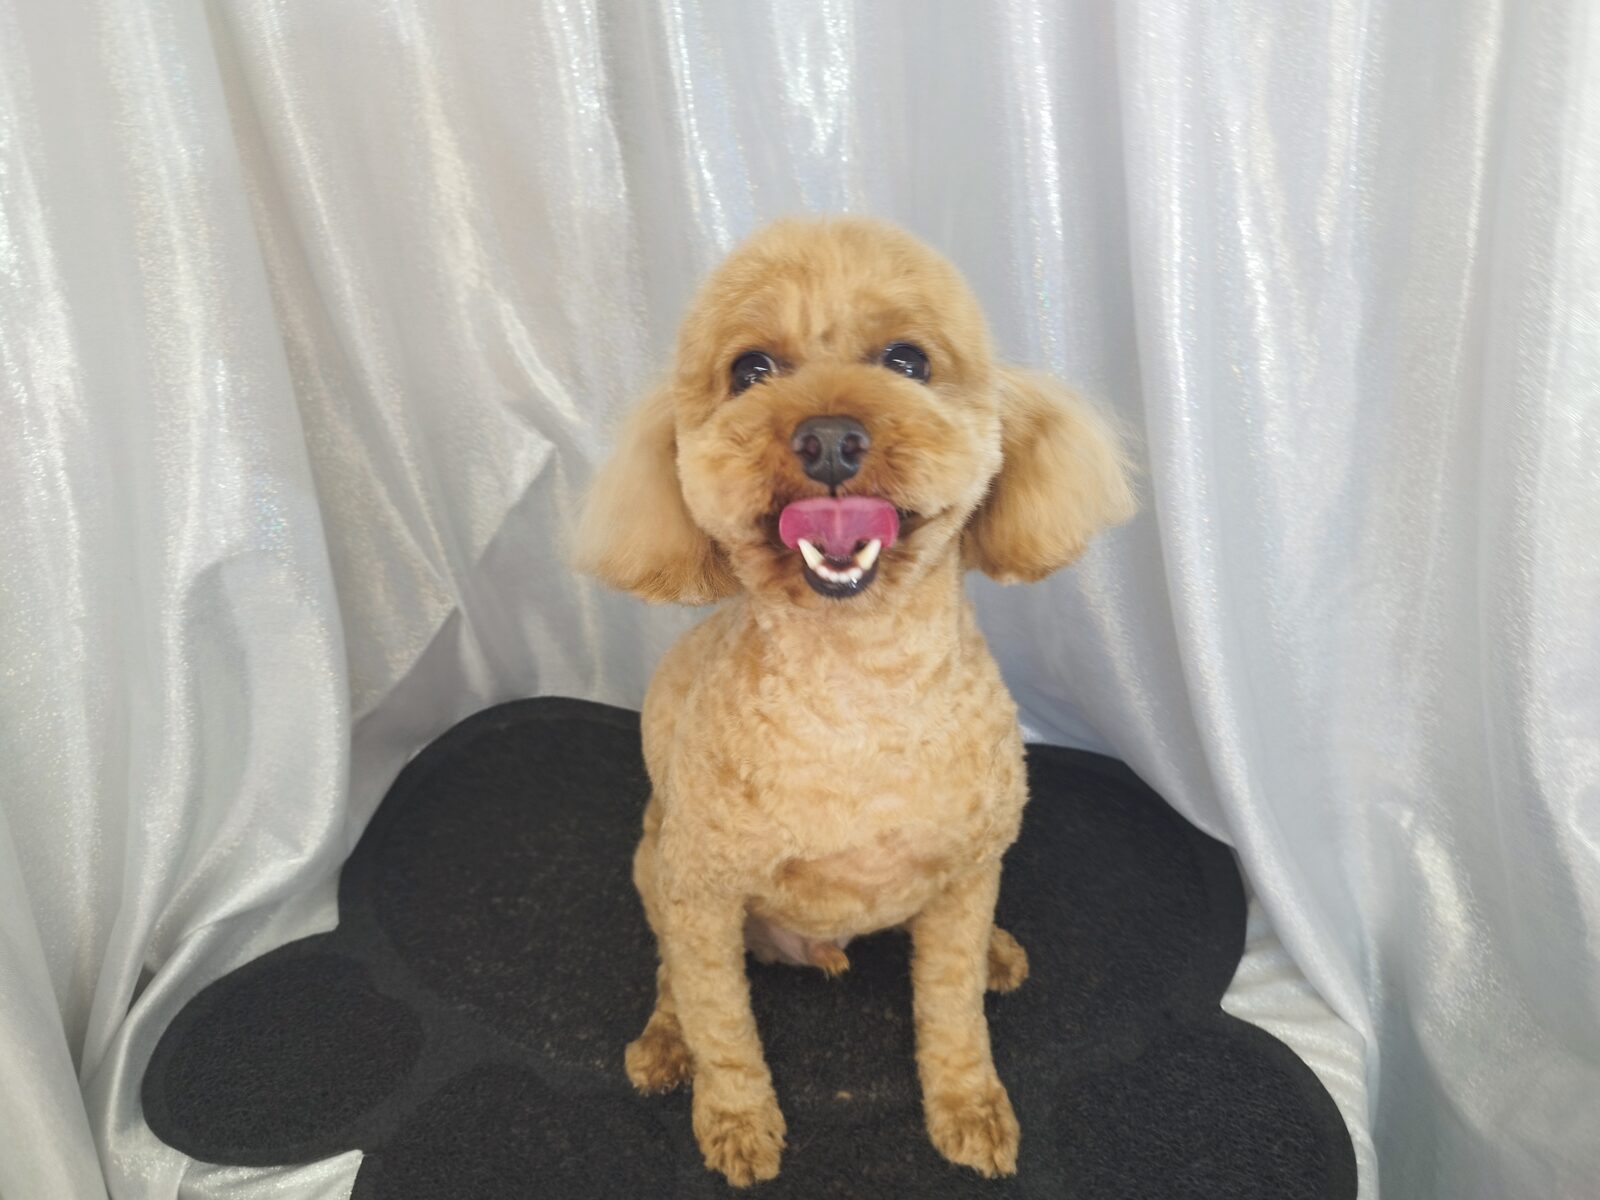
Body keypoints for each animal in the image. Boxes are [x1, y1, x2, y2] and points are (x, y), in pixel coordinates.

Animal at [576, 217, 1134, 1185]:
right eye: (751, 369)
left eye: (908, 360)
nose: (829, 439)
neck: (858, 693)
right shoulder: (702, 894)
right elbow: (723, 1022)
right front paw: (735, 1120)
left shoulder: (969, 868)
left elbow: (952, 1011)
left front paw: (969, 1106)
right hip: (657, 865)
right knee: (672, 976)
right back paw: (664, 1041)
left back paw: (995, 950)